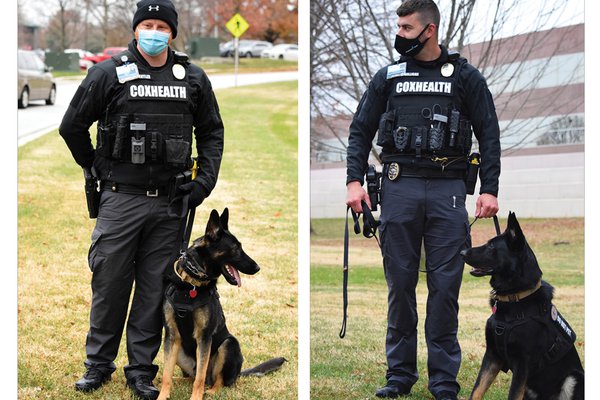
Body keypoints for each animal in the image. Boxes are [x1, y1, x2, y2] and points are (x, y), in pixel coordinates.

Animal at [159, 209, 286, 400]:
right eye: (235, 249)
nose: (258, 268)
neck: (191, 285)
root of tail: (238, 373)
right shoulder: (171, 336)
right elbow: (167, 373)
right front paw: (162, 395)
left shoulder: (204, 337)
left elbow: (199, 379)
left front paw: (195, 398)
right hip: (180, 351)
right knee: (191, 376)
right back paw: (178, 380)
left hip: (228, 344)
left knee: (214, 380)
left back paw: (211, 390)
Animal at [460, 214, 580, 398]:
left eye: (491, 246)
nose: (462, 252)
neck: (514, 297)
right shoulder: (492, 355)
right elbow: (477, 390)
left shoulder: (522, 364)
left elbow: (512, 394)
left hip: (574, 377)